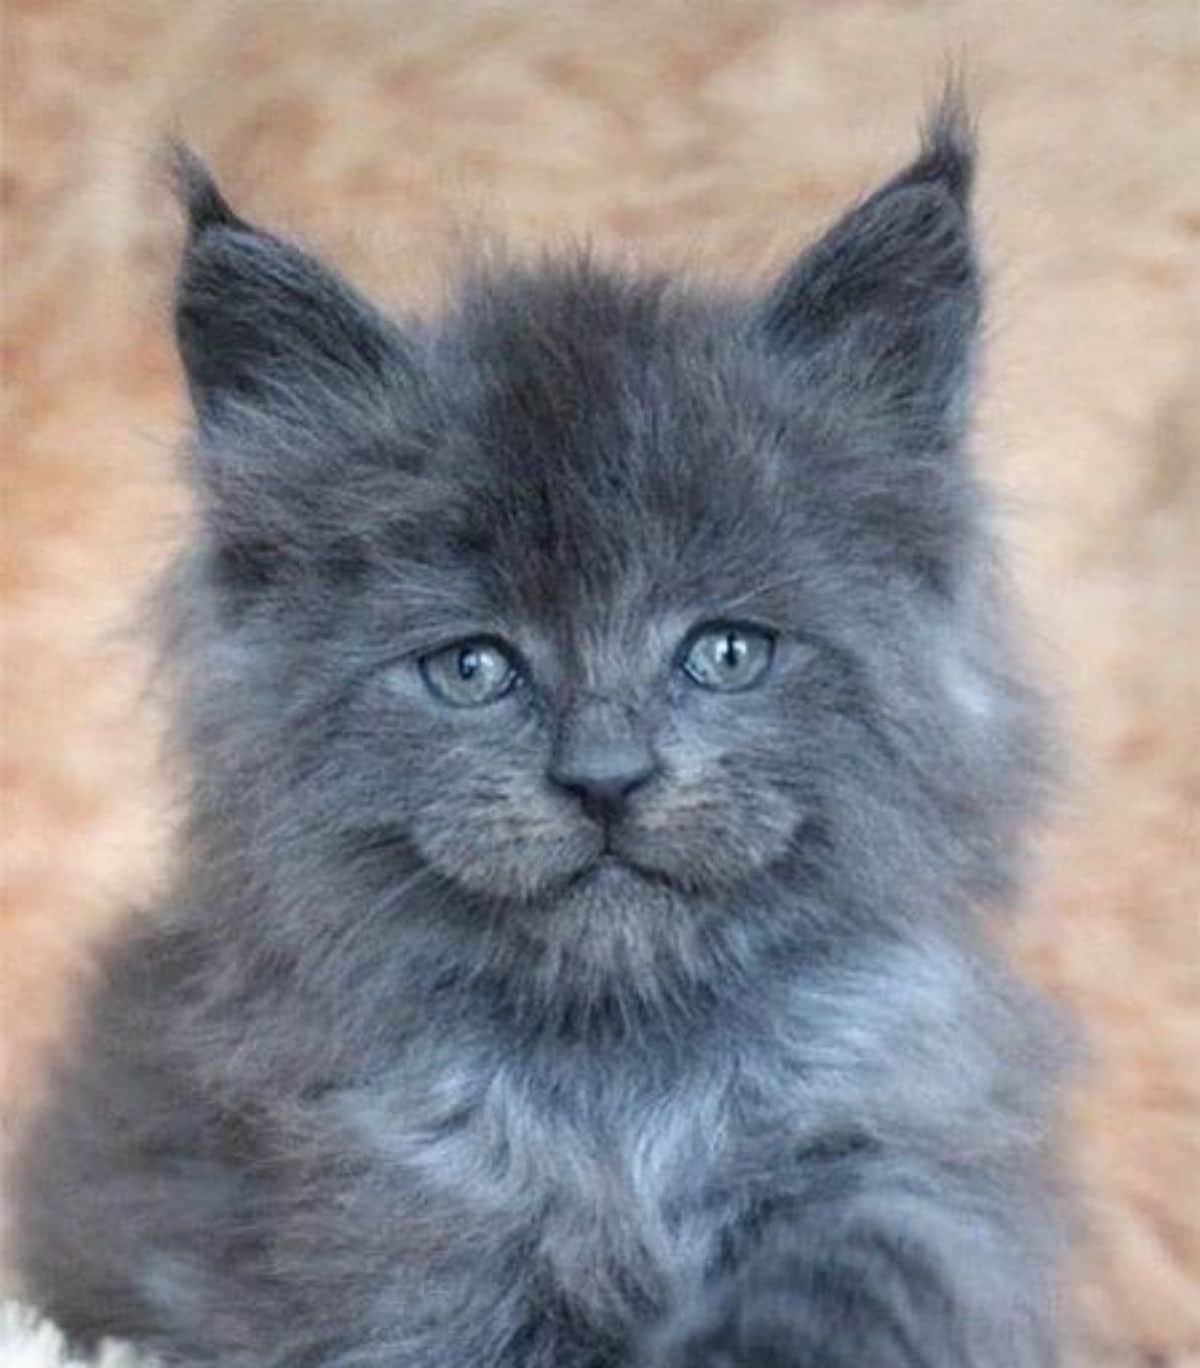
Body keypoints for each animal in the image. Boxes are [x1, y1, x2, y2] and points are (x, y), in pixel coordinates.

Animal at [14, 99, 1061, 1368]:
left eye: (726, 653)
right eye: (473, 669)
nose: (605, 779)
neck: (619, 1079)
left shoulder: (903, 1148)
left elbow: (858, 1274)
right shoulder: (398, 1249)